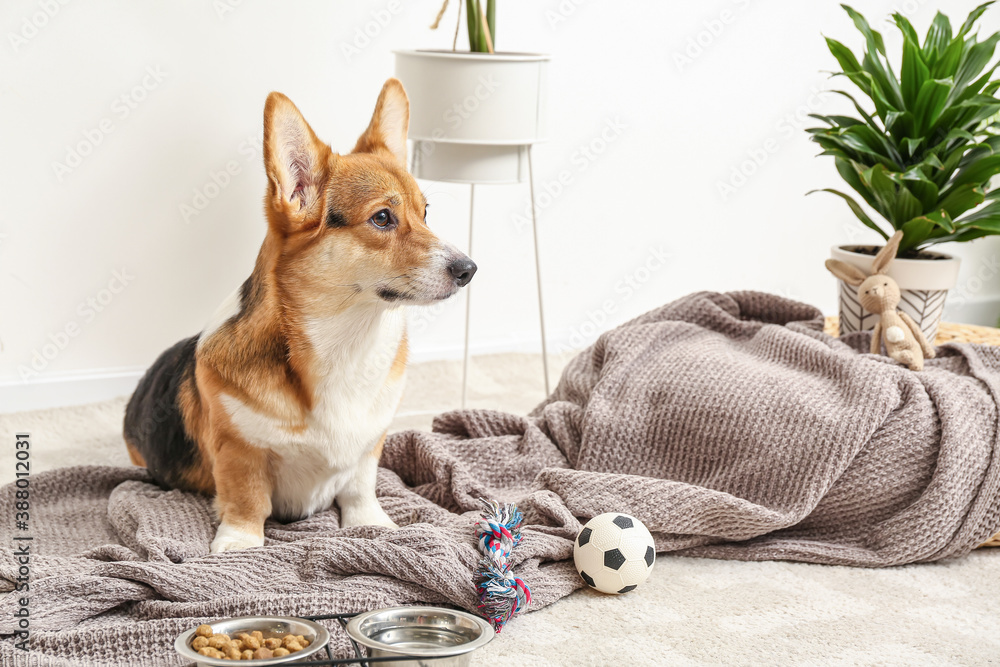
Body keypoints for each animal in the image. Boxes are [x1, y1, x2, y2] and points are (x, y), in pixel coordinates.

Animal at [124, 79, 476, 552]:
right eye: (382, 218)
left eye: (425, 213)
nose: (469, 270)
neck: (346, 342)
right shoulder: (239, 449)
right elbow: (247, 497)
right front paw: (240, 543)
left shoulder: (369, 445)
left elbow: (360, 486)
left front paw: (373, 525)